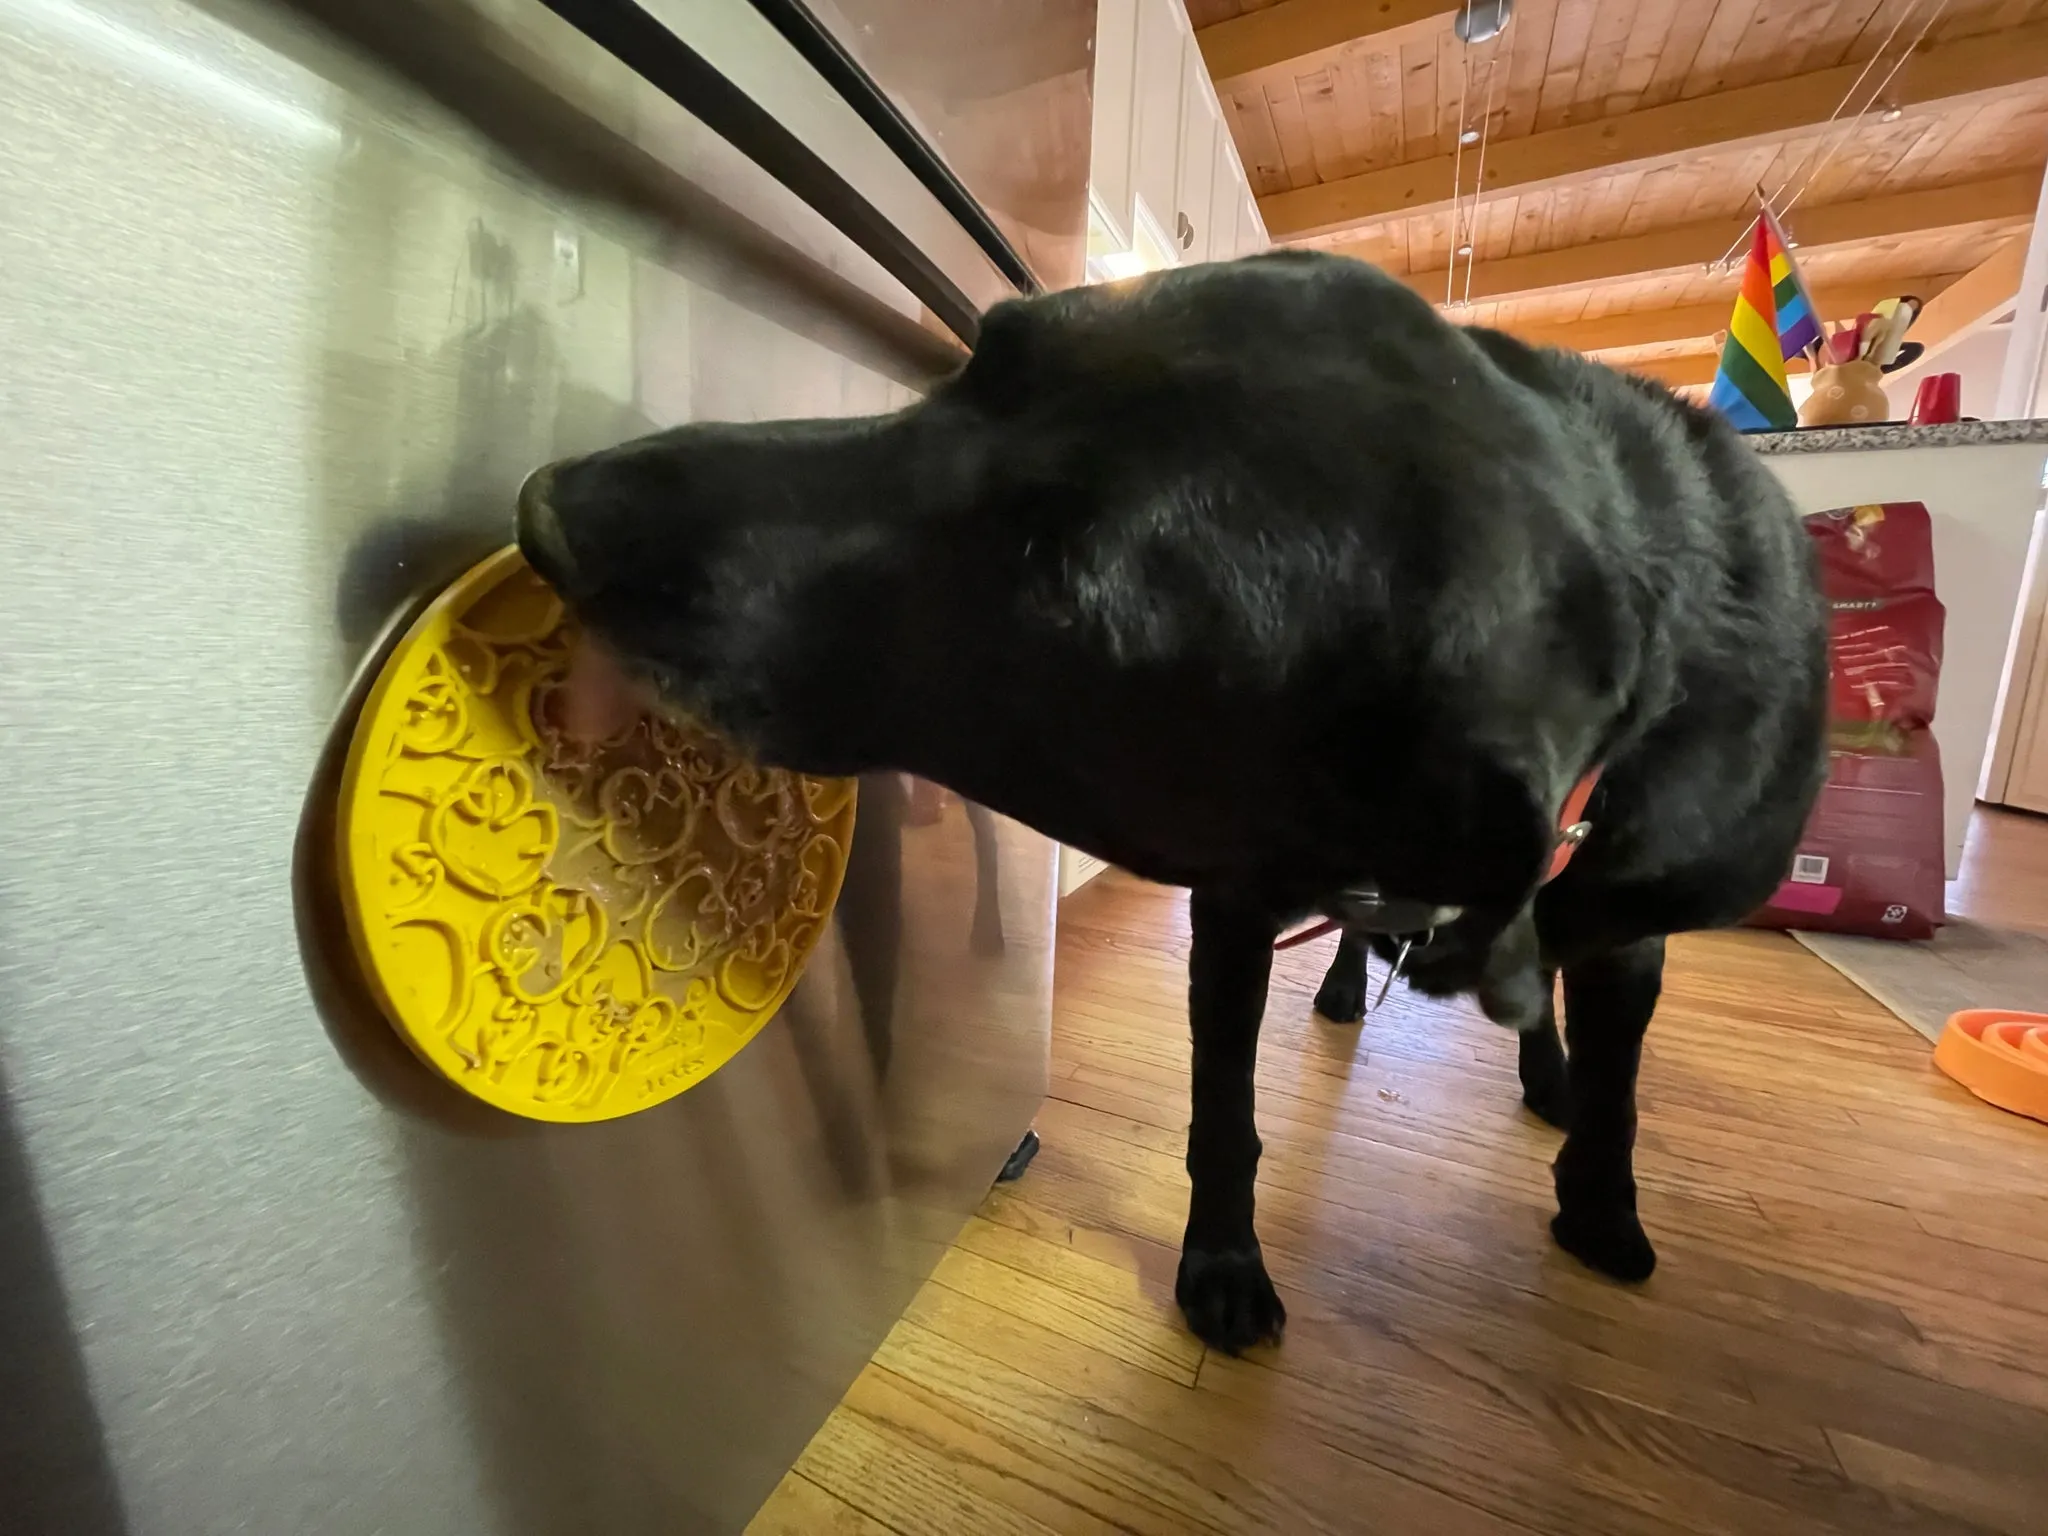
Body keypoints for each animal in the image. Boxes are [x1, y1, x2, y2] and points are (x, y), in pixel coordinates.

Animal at [512, 256, 1826, 1359]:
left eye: (1061, 587)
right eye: (984, 354)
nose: (551, 509)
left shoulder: (1629, 923)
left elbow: (1618, 1083)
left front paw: (1600, 1205)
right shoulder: (1237, 902)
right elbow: (1224, 1112)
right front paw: (1224, 1262)